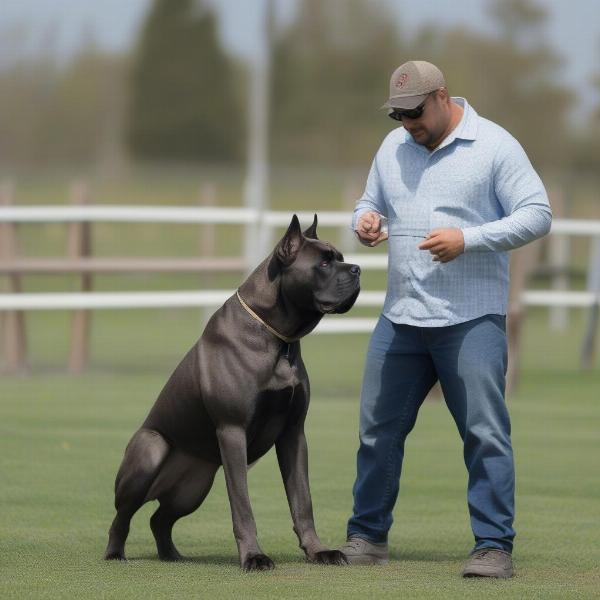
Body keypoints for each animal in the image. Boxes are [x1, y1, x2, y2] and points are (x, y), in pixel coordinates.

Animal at [104, 213, 360, 568]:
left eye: (340, 257)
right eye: (323, 262)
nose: (357, 268)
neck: (276, 336)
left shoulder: (294, 433)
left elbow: (302, 500)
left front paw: (318, 550)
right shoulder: (232, 430)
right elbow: (242, 505)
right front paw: (253, 556)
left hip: (193, 489)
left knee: (160, 518)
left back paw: (172, 555)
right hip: (150, 452)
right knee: (122, 516)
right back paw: (115, 553)